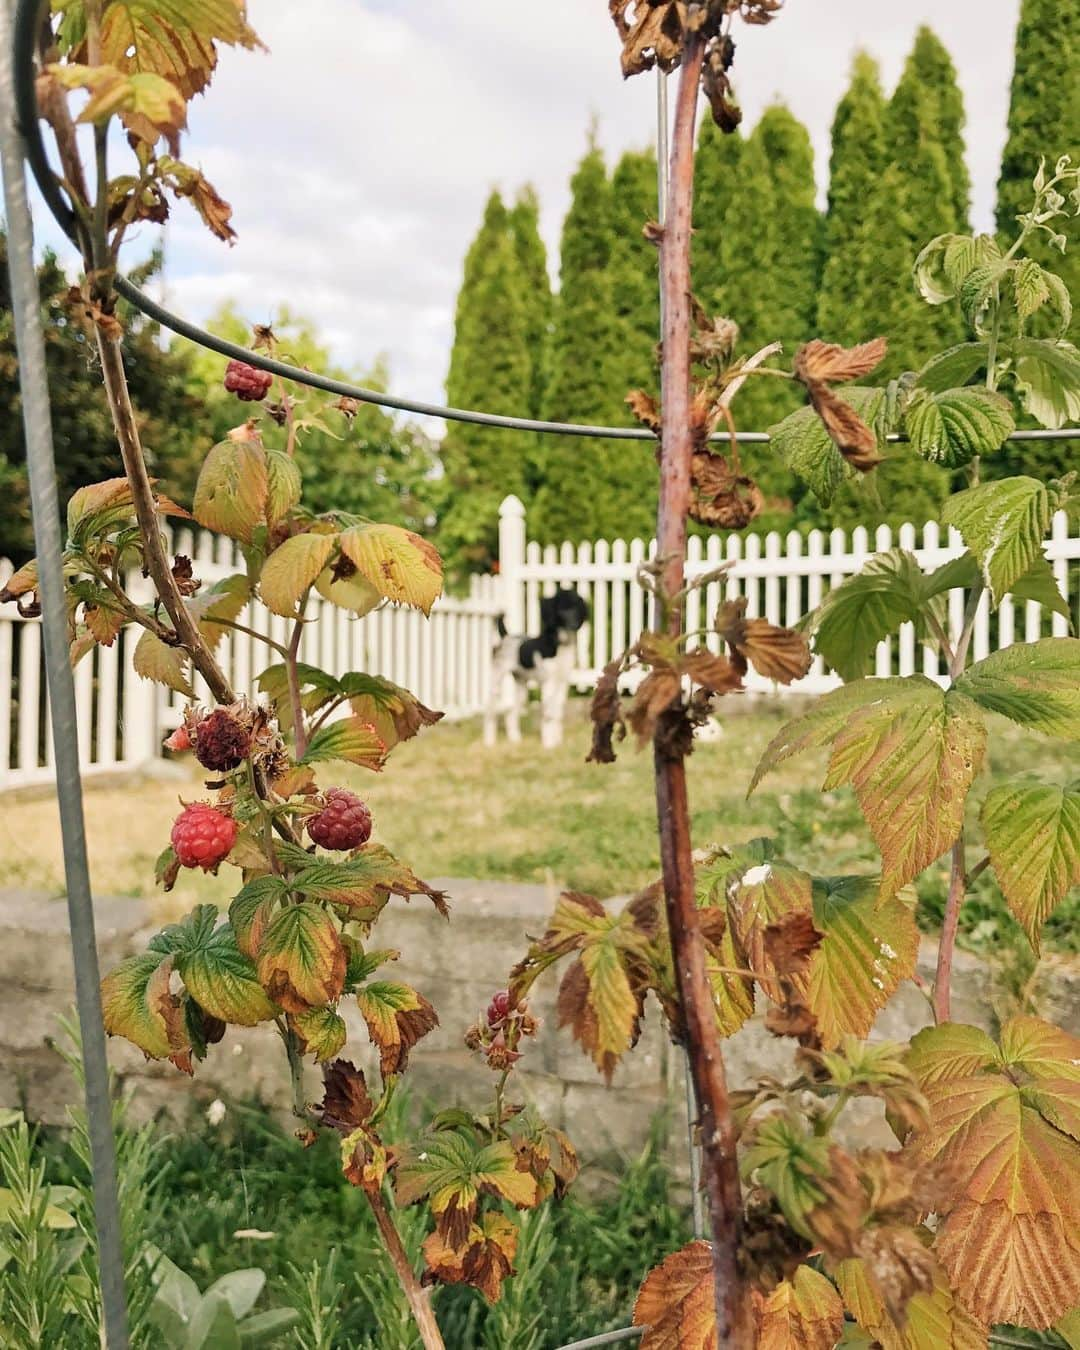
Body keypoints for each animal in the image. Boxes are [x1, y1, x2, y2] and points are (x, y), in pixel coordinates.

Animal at [486, 588, 591, 750]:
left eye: (576, 608)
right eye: (562, 610)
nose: (574, 625)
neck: (560, 645)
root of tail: (506, 637)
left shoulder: (562, 683)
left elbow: (557, 714)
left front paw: (558, 742)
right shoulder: (548, 684)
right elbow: (548, 715)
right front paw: (549, 744)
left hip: (521, 688)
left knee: (511, 712)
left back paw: (515, 739)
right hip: (496, 683)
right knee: (490, 712)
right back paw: (489, 741)